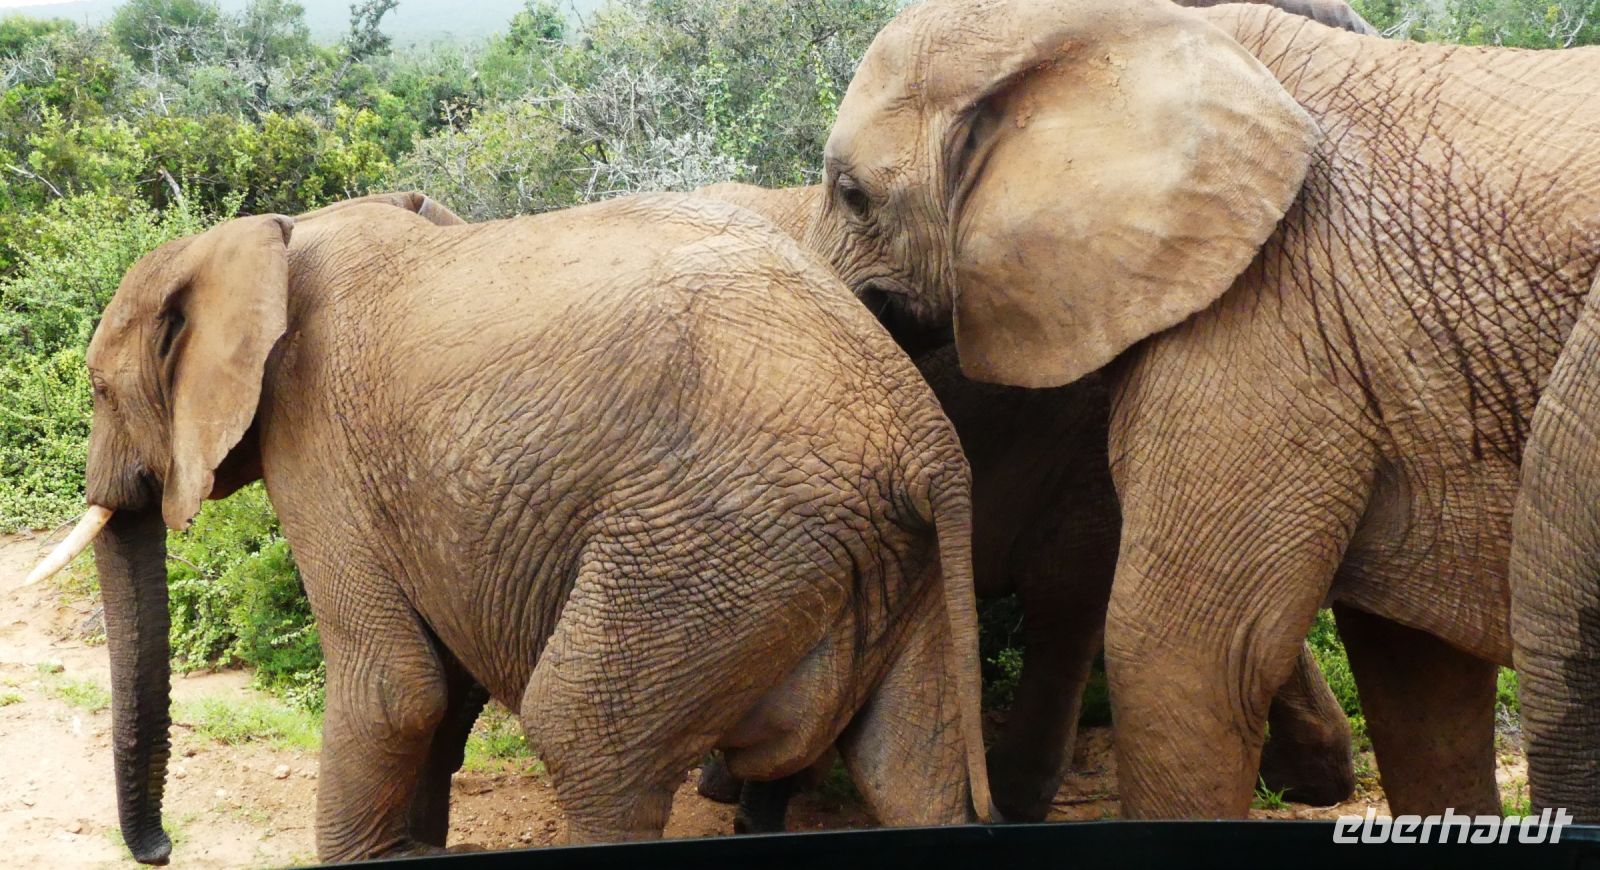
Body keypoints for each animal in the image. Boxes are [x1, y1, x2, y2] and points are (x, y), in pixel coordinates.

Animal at [25, 190, 994, 863]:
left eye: (99, 388)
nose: (160, 852)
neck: (265, 236)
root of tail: (928, 442)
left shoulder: (317, 442)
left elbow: (393, 685)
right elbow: (440, 686)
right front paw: (415, 851)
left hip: (716, 545)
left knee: (583, 737)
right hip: (876, 557)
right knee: (910, 771)